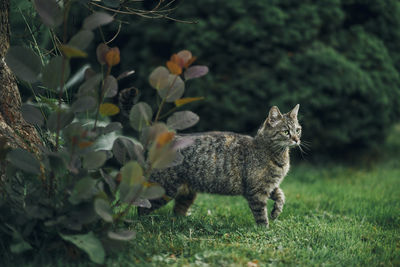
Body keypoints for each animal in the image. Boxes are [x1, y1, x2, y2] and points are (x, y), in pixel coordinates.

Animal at [139, 104, 302, 226]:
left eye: (298, 130)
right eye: (286, 132)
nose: (296, 139)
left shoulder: (269, 185)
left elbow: (281, 195)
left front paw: (276, 211)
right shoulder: (256, 191)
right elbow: (261, 215)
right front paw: (265, 230)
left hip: (187, 193)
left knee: (177, 211)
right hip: (164, 190)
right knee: (142, 207)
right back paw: (143, 225)